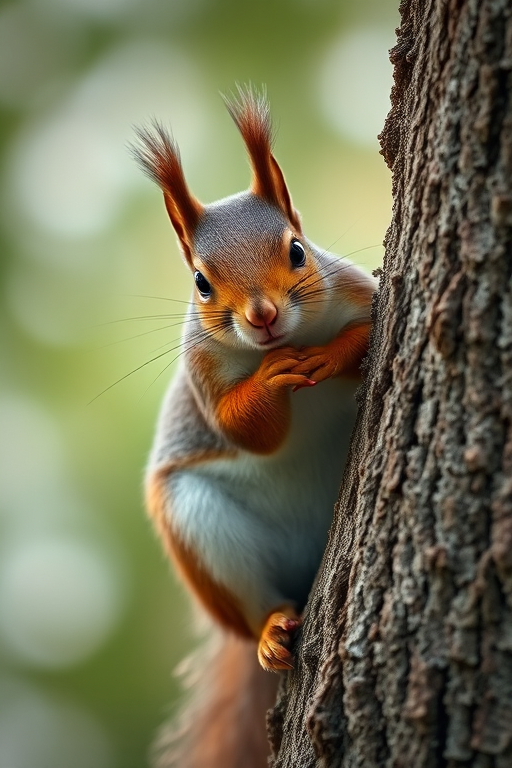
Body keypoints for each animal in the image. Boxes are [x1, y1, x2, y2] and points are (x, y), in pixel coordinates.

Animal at [133, 87, 377, 768]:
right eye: (200, 281)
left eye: (297, 250)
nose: (263, 316)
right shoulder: (204, 376)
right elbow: (247, 432)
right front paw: (270, 381)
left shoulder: (357, 289)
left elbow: (368, 328)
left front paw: (331, 356)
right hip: (200, 527)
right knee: (256, 607)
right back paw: (271, 631)